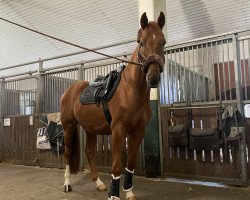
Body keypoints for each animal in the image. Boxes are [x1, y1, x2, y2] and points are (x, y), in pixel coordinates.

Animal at [60, 11, 166, 199]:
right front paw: (114, 194)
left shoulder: (138, 132)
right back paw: (67, 184)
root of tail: (69, 91)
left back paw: (99, 183)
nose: (153, 78)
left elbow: (130, 164)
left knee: (89, 152)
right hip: (69, 126)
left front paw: (129, 191)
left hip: (90, 129)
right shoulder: (118, 130)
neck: (129, 92)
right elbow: (117, 165)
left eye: (163, 42)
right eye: (142, 42)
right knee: (68, 152)